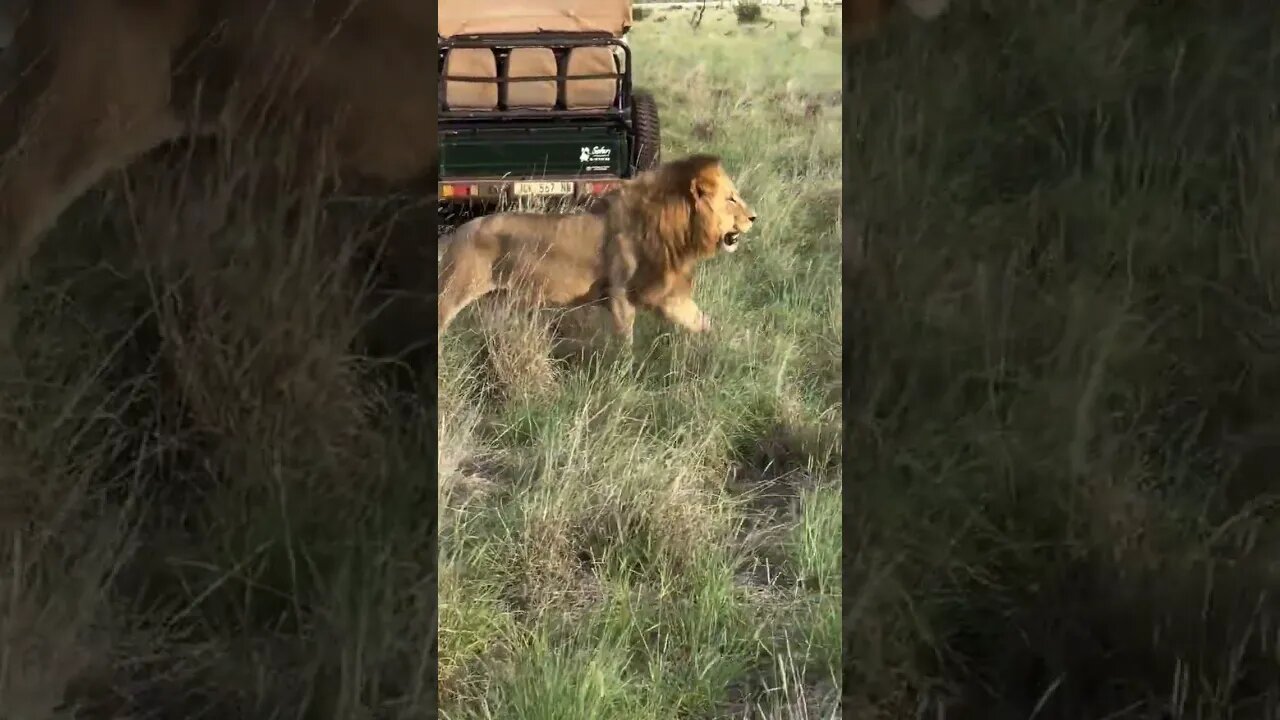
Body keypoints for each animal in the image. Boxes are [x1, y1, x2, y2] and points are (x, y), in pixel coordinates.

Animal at [435, 152, 752, 343]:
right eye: (731, 199)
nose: (754, 218)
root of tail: (457, 233)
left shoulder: (666, 295)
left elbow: (702, 321)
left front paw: (729, 346)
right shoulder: (620, 295)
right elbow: (625, 342)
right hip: (453, 291)